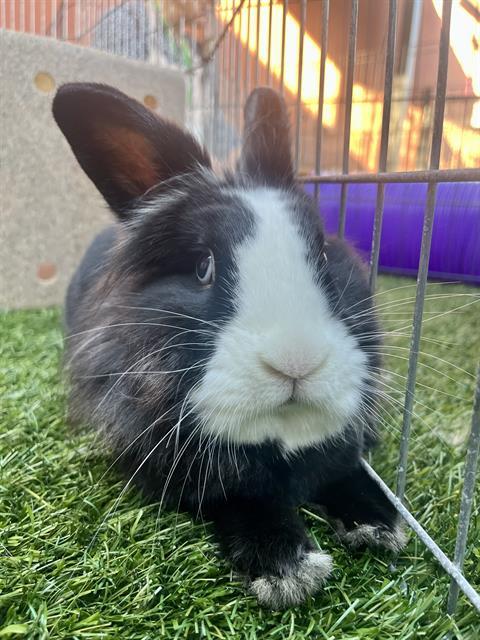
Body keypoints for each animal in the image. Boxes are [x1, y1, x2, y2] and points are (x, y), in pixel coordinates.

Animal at [52, 83, 406, 609]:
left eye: (324, 255)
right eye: (203, 267)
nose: (296, 361)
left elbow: (345, 467)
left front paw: (380, 522)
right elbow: (239, 497)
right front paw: (286, 566)